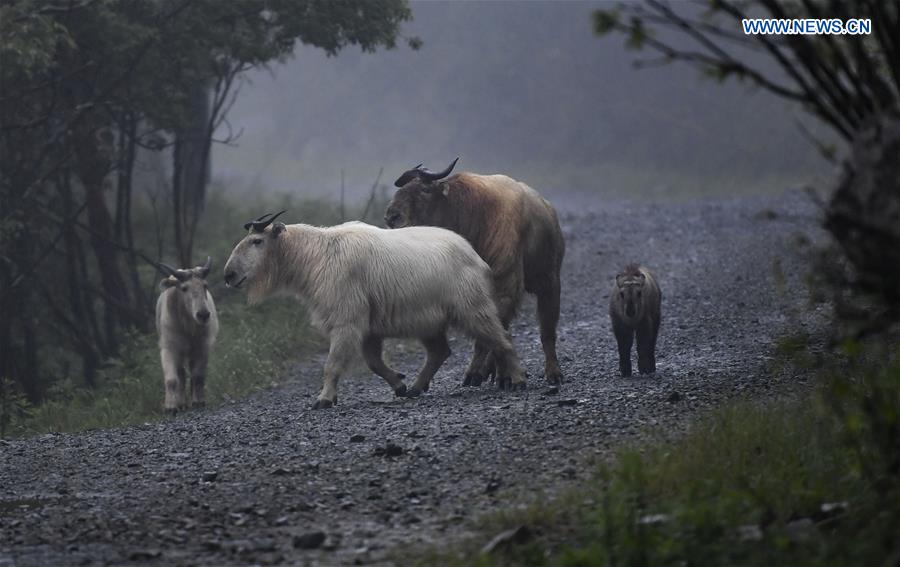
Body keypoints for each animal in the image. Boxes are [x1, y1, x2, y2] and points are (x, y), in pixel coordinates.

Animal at [155, 258, 218, 412]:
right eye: (184, 288)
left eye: (205, 285)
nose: (203, 315)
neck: (188, 326)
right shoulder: (169, 348)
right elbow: (172, 379)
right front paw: (171, 406)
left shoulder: (202, 347)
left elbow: (198, 376)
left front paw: (198, 401)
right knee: (181, 374)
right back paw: (181, 402)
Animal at [221, 209, 524, 408]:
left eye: (257, 241)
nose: (229, 275)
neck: (317, 255)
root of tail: (477, 258)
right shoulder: (367, 328)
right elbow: (374, 363)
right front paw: (399, 384)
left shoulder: (346, 320)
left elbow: (333, 364)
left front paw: (324, 398)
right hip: (429, 322)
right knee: (440, 352)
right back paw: (416, 387)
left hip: (473, 309)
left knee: (503, 340)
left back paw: (518, 379)